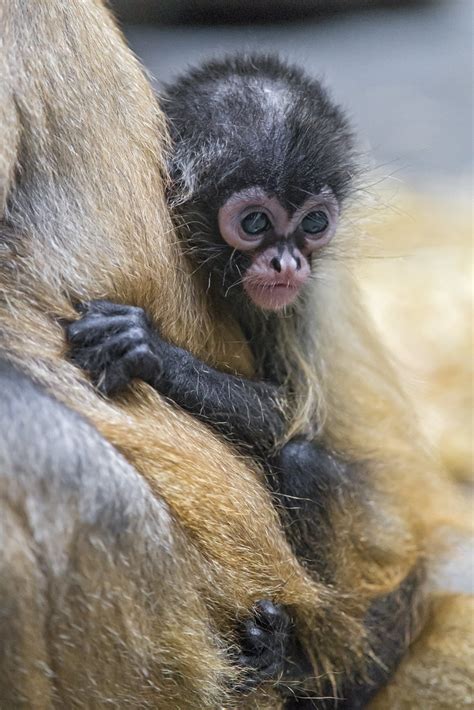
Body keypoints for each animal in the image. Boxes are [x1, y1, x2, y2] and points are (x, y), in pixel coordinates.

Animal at [0, 1, 472, 710]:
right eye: (254, 223)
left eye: (313, 223)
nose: (286, 261)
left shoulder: (297, 303)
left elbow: (291, 416)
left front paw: (151, 352)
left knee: (303, 459)